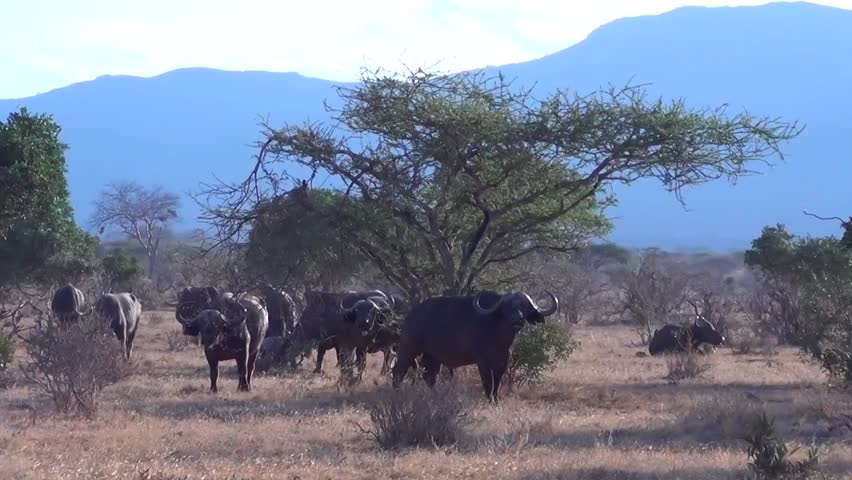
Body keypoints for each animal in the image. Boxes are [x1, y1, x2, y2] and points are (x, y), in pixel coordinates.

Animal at [392, 290, 559, 402]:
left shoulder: (502, 362)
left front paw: (495, 401)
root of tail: (410, 315)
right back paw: (396, 393)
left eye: (524, 307)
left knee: (429, 377)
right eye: (507, 307)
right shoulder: (482, 362)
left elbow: (497, 384)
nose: (517, 319)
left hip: (432, 357)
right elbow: (488, 383)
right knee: (398, 371)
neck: (498, 336)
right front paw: (489, 400)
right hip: (409, 349)